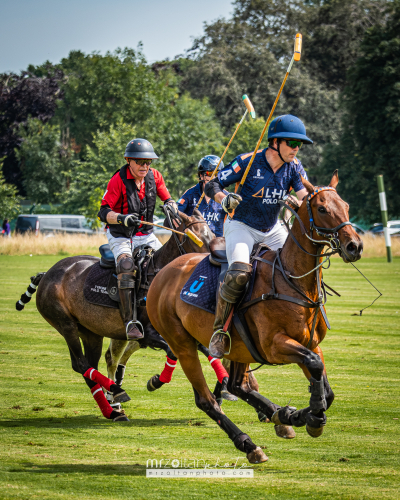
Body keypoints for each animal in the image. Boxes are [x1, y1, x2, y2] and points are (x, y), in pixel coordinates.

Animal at [17, 212, 214, 422]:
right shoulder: (148, 334)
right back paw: (116, 394)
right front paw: (156, 381)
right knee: (80, 363)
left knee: (90, 365)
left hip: (90, 332)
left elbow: (202, 350)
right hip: (65, 324)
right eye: (195, 237)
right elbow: (172, 352)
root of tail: (47, 273)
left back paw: (113, 409)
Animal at [146, 173, 362, 464]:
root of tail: (161, 273)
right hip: (182, 343)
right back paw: (249, 444)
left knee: (237, 386)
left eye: (346, 206)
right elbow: (315, 369)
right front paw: (312, 417)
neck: (292, 280)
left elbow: (326, 388)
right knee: (206, 400)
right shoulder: (274, 346)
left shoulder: (310, 343)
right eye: (322, 209)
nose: (355, 246)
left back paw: (280, 416)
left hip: (238, 347)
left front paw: (299, 414)